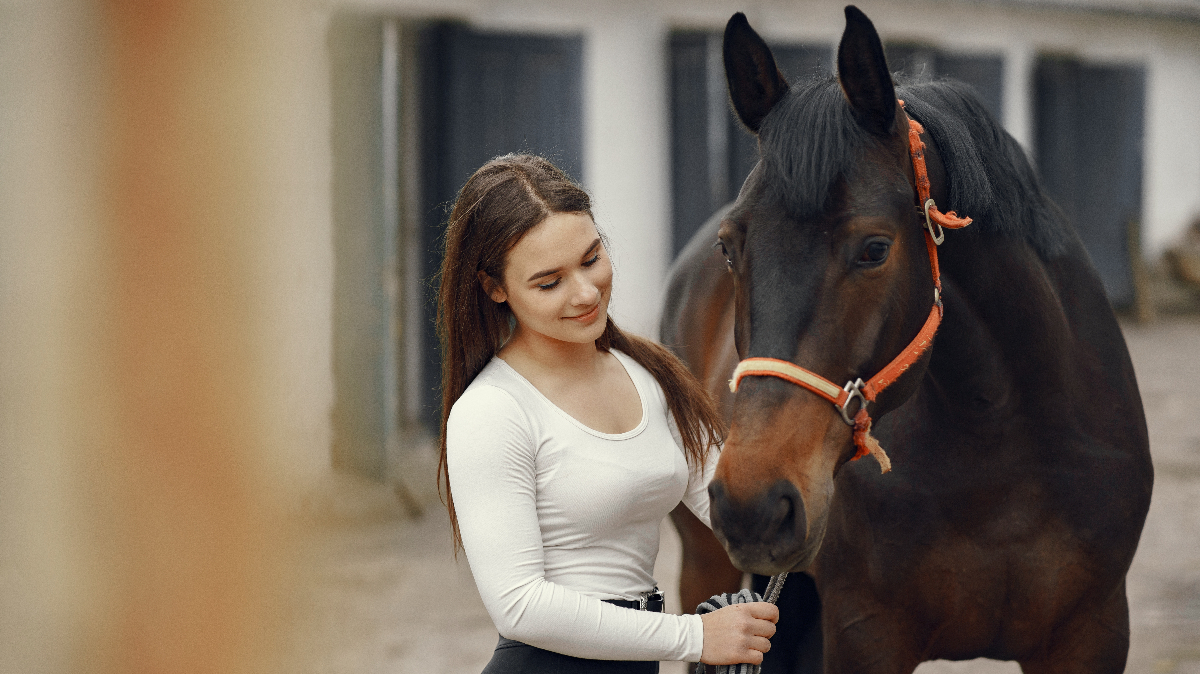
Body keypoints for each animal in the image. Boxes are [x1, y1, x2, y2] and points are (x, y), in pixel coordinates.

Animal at [661, 7, 1153, 672]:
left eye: (874, 249)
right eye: (729, 247)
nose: (753, 505)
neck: (1002, 445)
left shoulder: (1092, 632)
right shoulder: (866, 632)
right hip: (708, 569)